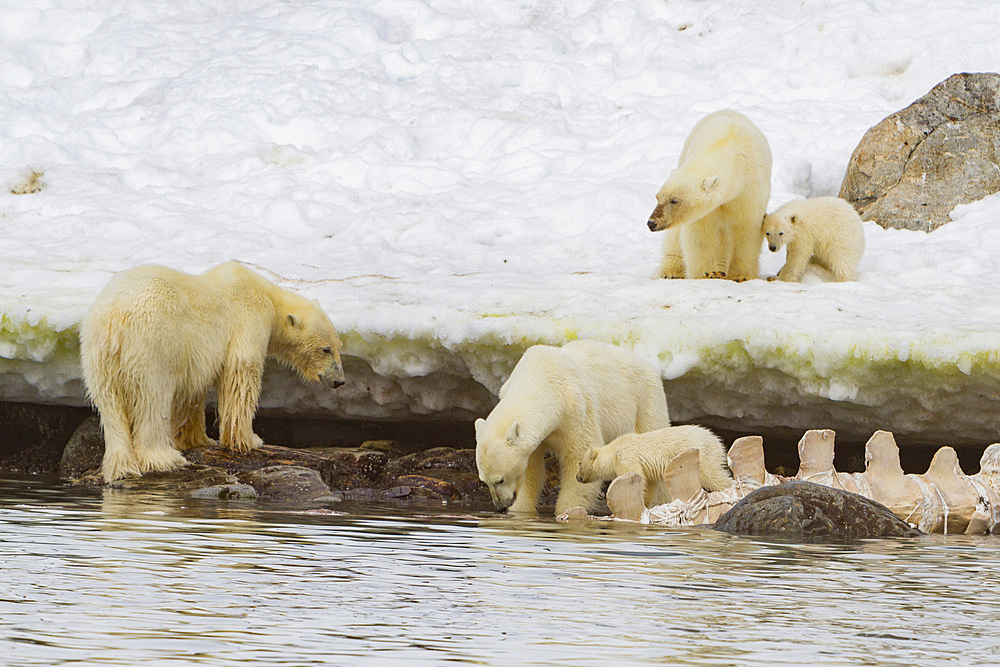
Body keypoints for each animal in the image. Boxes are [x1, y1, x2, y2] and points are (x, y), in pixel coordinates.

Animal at [78, 260, 344, 480]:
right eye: (326, 349)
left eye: (338, 346)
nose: (339, 381)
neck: (266, 293)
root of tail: (114, 324)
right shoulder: (249, 317)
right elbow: (241, 372)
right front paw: (249, 439)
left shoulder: (192, 356)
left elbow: (190, 392)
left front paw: (195, 439)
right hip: (151, 346)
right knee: (153, 399)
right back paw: (165, 458)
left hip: (97, 358)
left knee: (110, 406)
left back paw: (121, 467)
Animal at [576, 428, 732, 506]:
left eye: (579, 463)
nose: (577, 477)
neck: (614, 450)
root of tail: (717, 441)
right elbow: (648, 484)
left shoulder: (627, 457)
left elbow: (634, 475)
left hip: (701, 454)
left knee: (711, 475)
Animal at [648, 108, 772, 280]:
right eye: (657, 198)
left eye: (674, 200)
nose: (651, 223)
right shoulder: (705, 211)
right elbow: (700, 235)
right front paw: (706, 274)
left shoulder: (750, 189)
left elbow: (746, 228)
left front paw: (741, 276)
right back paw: (670, 272)